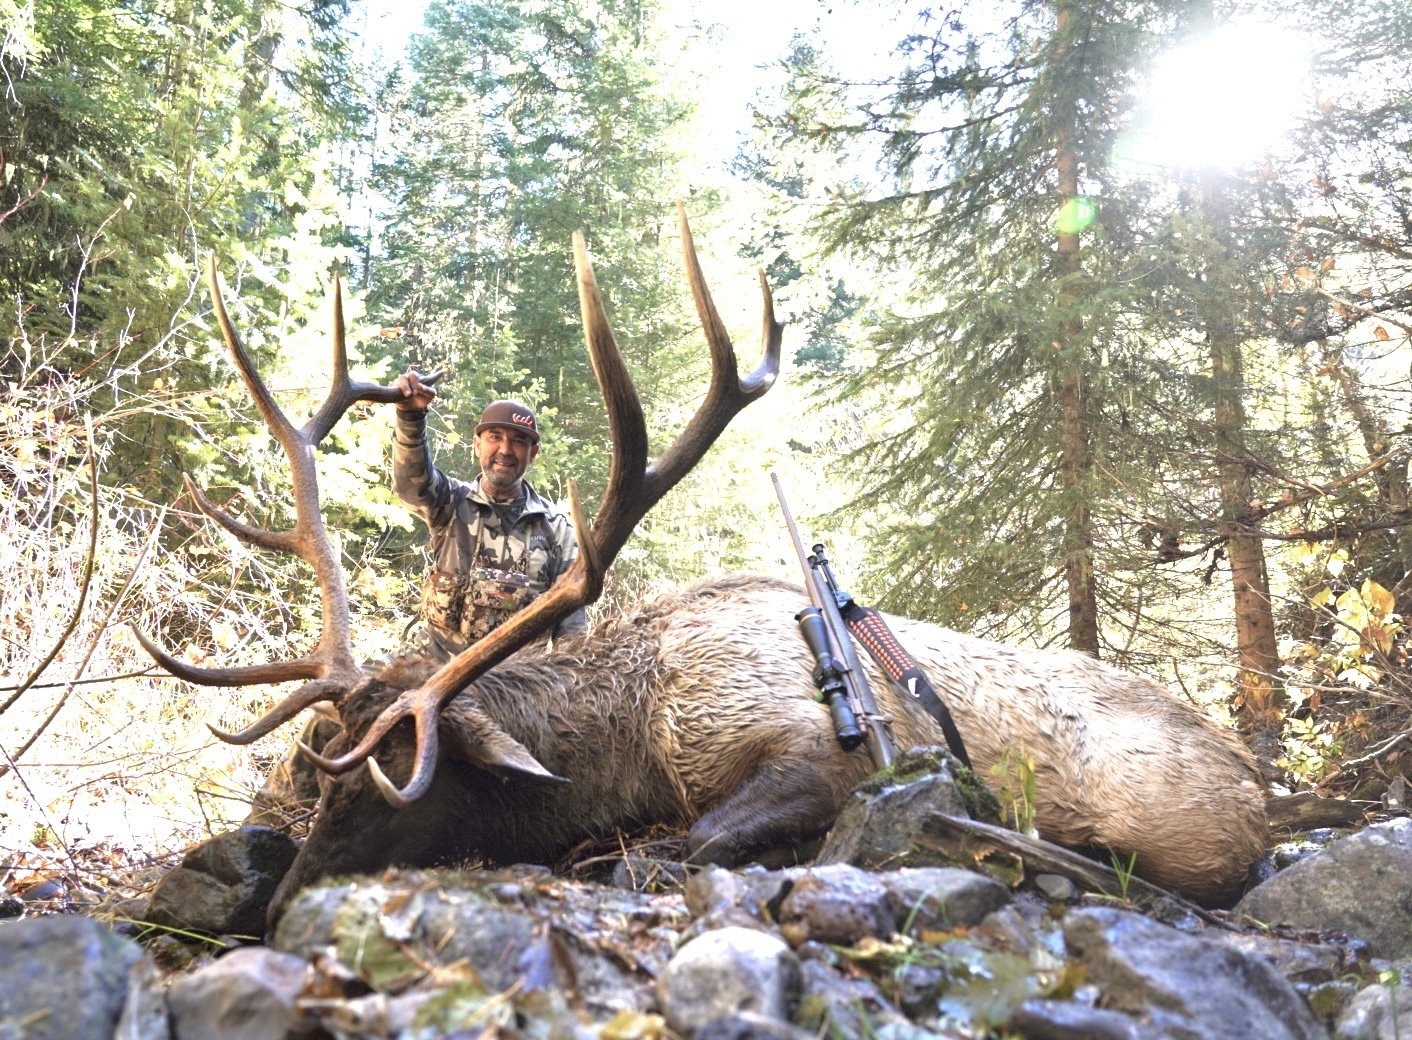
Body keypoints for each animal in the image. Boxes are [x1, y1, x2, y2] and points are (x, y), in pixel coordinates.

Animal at [137, 206, 1269, 933]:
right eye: (327, 756)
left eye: (391, 779)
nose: (282, 909)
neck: (635, 736)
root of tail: (1261, 782)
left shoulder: (818, 751)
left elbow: (681, 844)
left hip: (1178, 829)